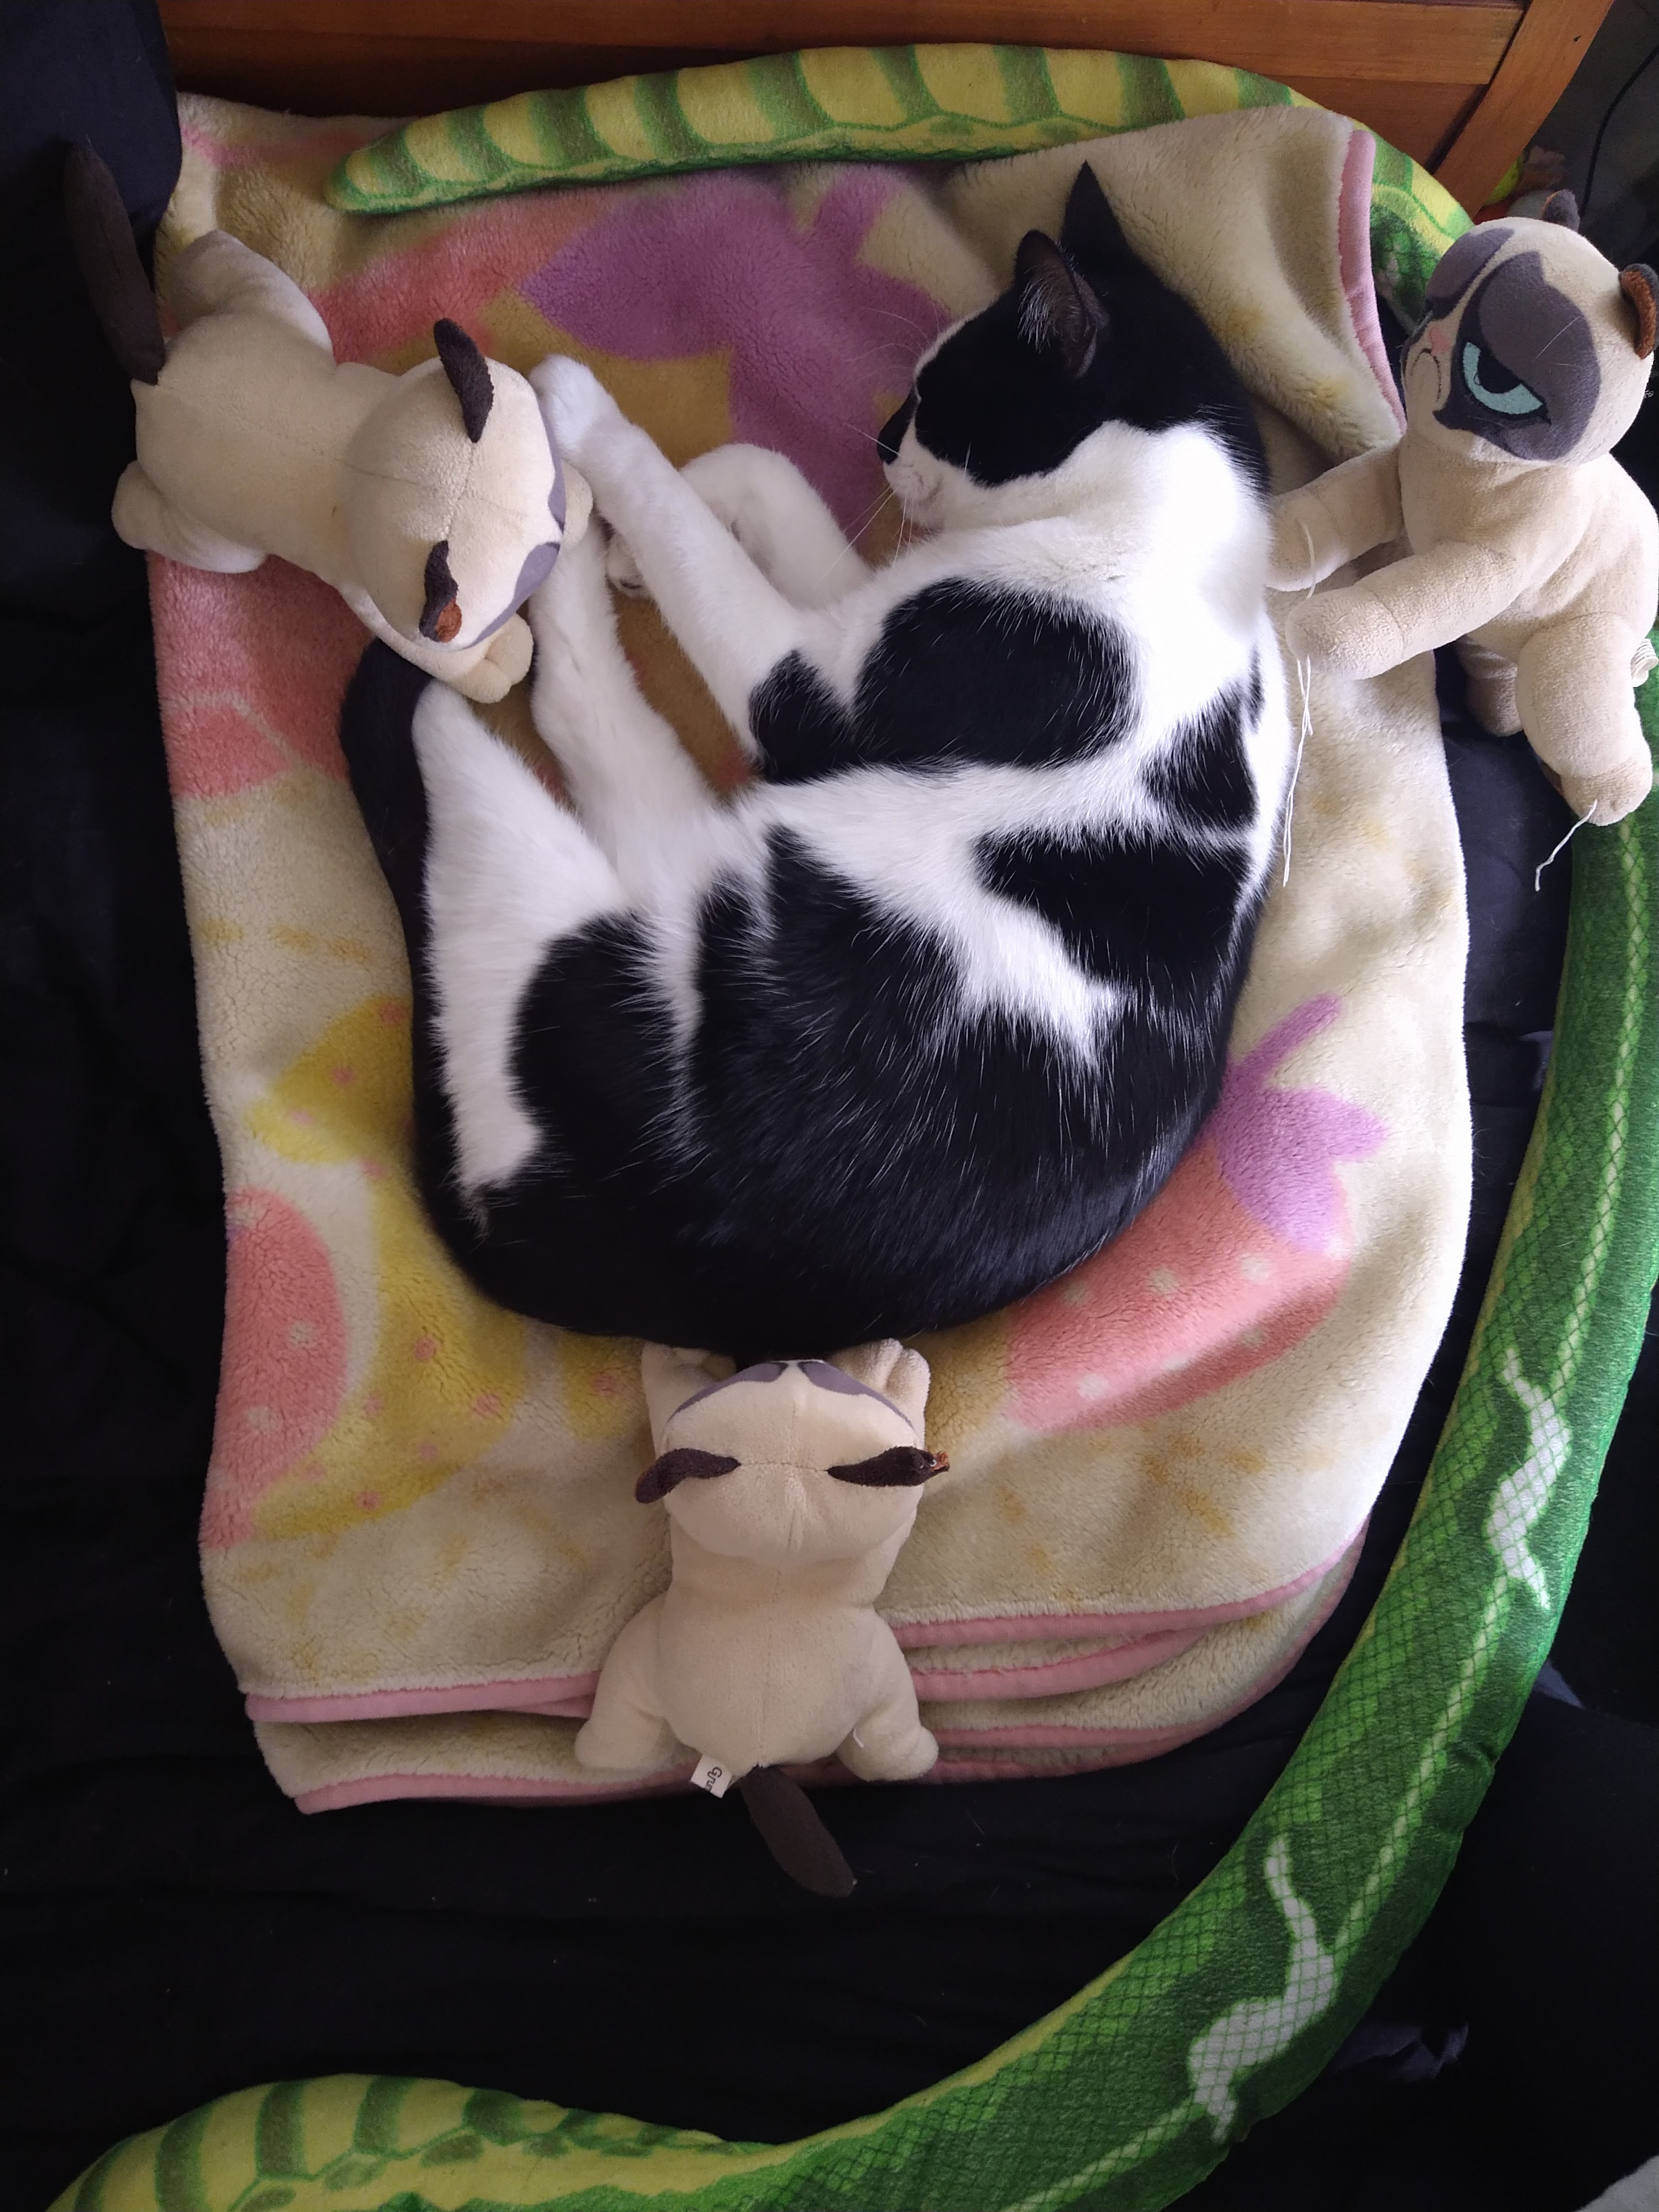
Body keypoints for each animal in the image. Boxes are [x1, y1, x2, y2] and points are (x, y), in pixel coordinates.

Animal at [341, 164, 1301, 1354]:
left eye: (938, 397)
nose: (883, 439)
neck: (1191, 548)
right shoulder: (863, 615)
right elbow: (768, 478)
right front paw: (649, 530)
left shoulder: (816, 690)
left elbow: (689, 535)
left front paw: (586, 427)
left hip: (549, 888)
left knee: (518, 719)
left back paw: (539, 544)